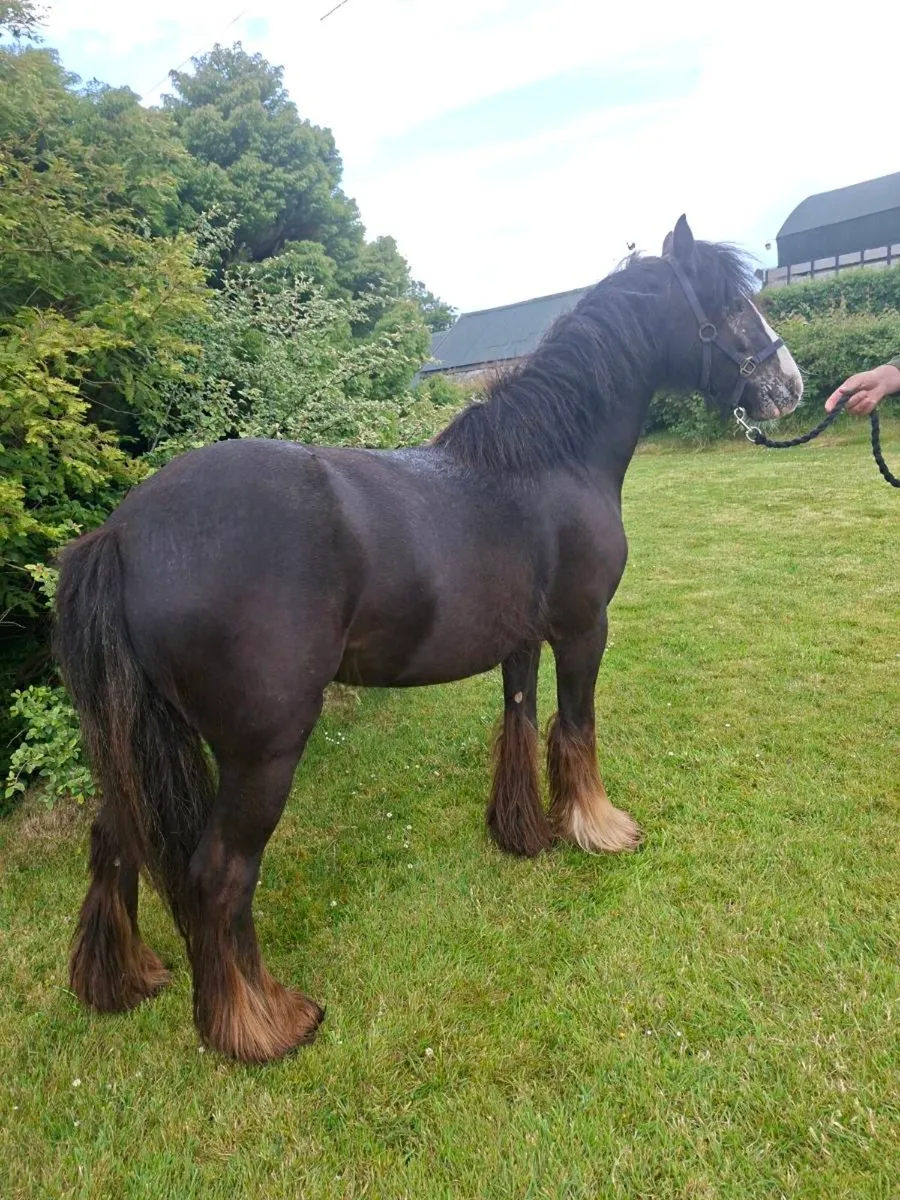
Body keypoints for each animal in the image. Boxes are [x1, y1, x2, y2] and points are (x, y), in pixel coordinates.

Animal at [54, 215, 803, 1063]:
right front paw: (600, 830)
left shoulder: (521, 641)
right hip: (262, 752)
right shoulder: (584, 629)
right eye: (730, 304)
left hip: (135, 739)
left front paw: (521, 833)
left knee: (113, 838)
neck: (549, 462)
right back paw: (264, 1024)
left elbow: (520, 724)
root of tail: (121, 533)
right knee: (219, 875)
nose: (791, 385)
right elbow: (575, 728)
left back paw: (122, 980)